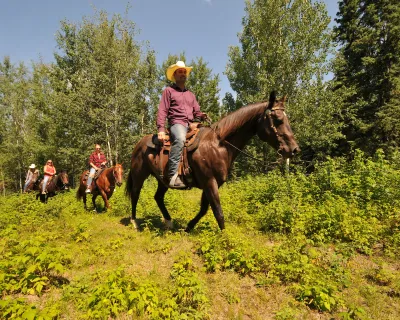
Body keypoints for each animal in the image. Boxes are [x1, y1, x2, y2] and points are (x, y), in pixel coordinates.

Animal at [126, 91, 300, 231]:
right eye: (278, 119)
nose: (294, 149)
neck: (219, 145)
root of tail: (139, 144)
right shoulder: (210, 182)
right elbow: (218, 211)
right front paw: (225, 238)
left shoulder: (211, 183)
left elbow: (204, 209)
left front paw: (189, 227)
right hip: (139, 175)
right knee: (135, 194)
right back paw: (134, 223)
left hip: (163, 180)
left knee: (158, 197)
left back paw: (168, 222)